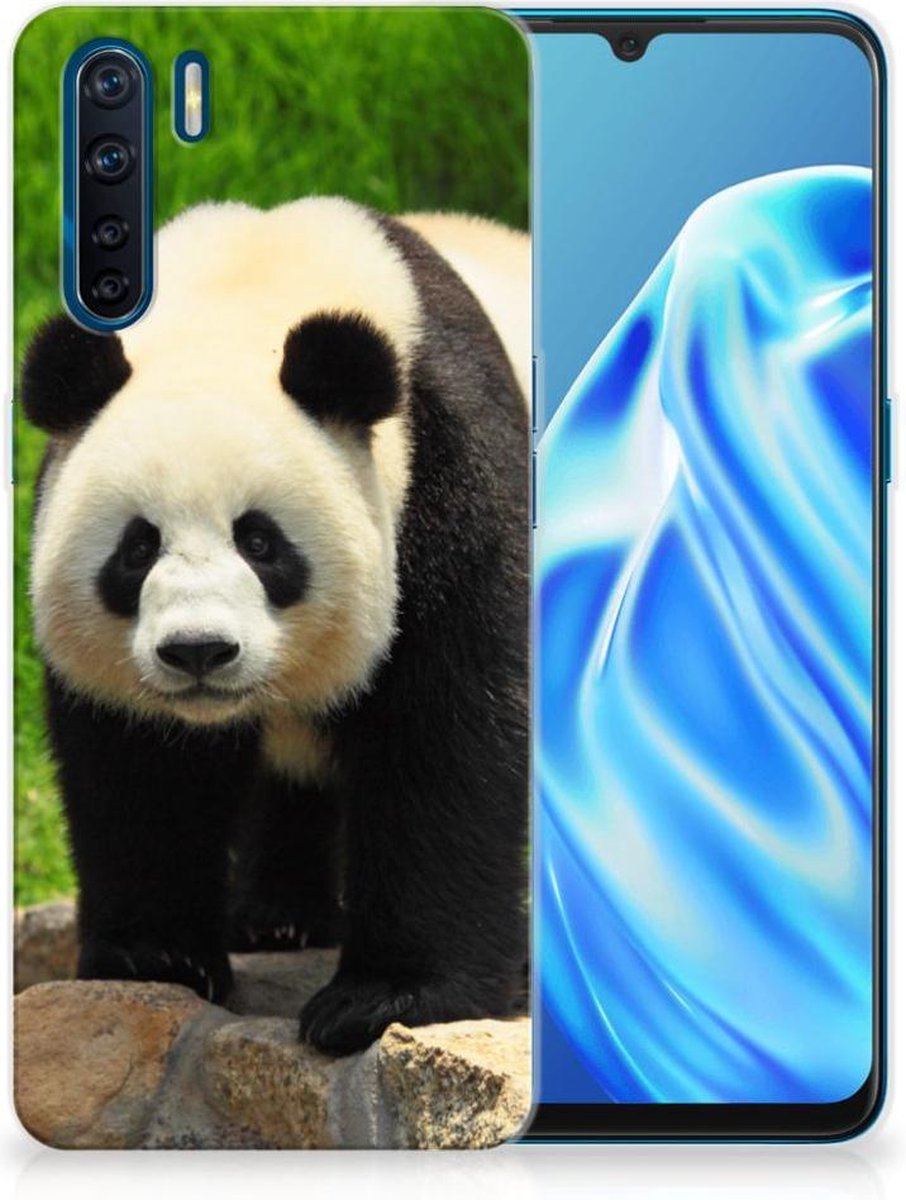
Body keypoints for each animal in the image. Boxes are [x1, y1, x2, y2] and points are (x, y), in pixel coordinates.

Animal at [21, 198, 529, 1054]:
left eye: (260, 542)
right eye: (137, 547)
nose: (198, 651)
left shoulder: (451, 474)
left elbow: (449, 732)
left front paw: (385, 997)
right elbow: (139, 764)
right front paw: (156, 956)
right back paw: (278, 917)